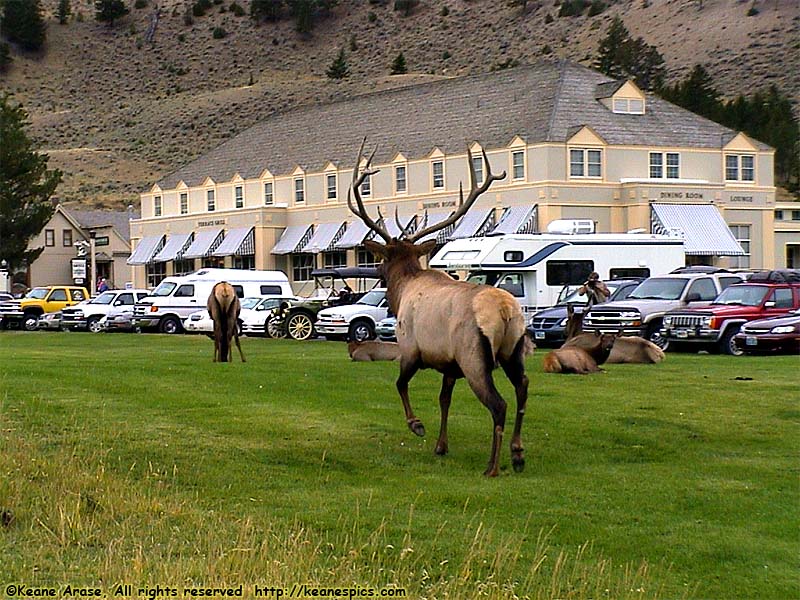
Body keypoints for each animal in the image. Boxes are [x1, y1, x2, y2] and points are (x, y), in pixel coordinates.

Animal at [348, 141, 532, 478]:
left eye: (383, 259)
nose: (375, 272)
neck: (403, 290)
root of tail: (504, 310)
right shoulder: (449, 365)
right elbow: (444, 399)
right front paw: (441, 446)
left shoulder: (410, 348)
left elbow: (400, 384)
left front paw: (417, 425)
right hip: (513, 350)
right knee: (523, 388)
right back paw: (517, 453)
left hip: (474, 356)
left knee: (498, 404)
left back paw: (492, 467)